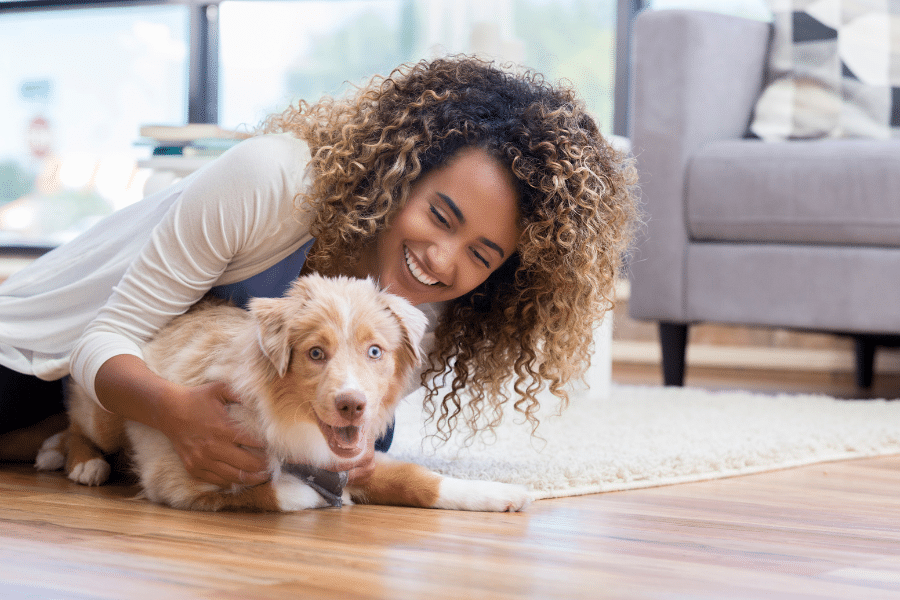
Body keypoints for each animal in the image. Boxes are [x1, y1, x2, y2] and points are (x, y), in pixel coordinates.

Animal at [37, 274, 536, 512]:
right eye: (316, 353)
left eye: (375, 351)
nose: (352, 405)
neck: (290, 417)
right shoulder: (178, 479)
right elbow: (275, 491)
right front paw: (321, 495)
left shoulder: (354, 458)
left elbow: (421, 479)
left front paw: (499, 493)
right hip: (105, 408)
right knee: (78, 423)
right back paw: (76, 460)